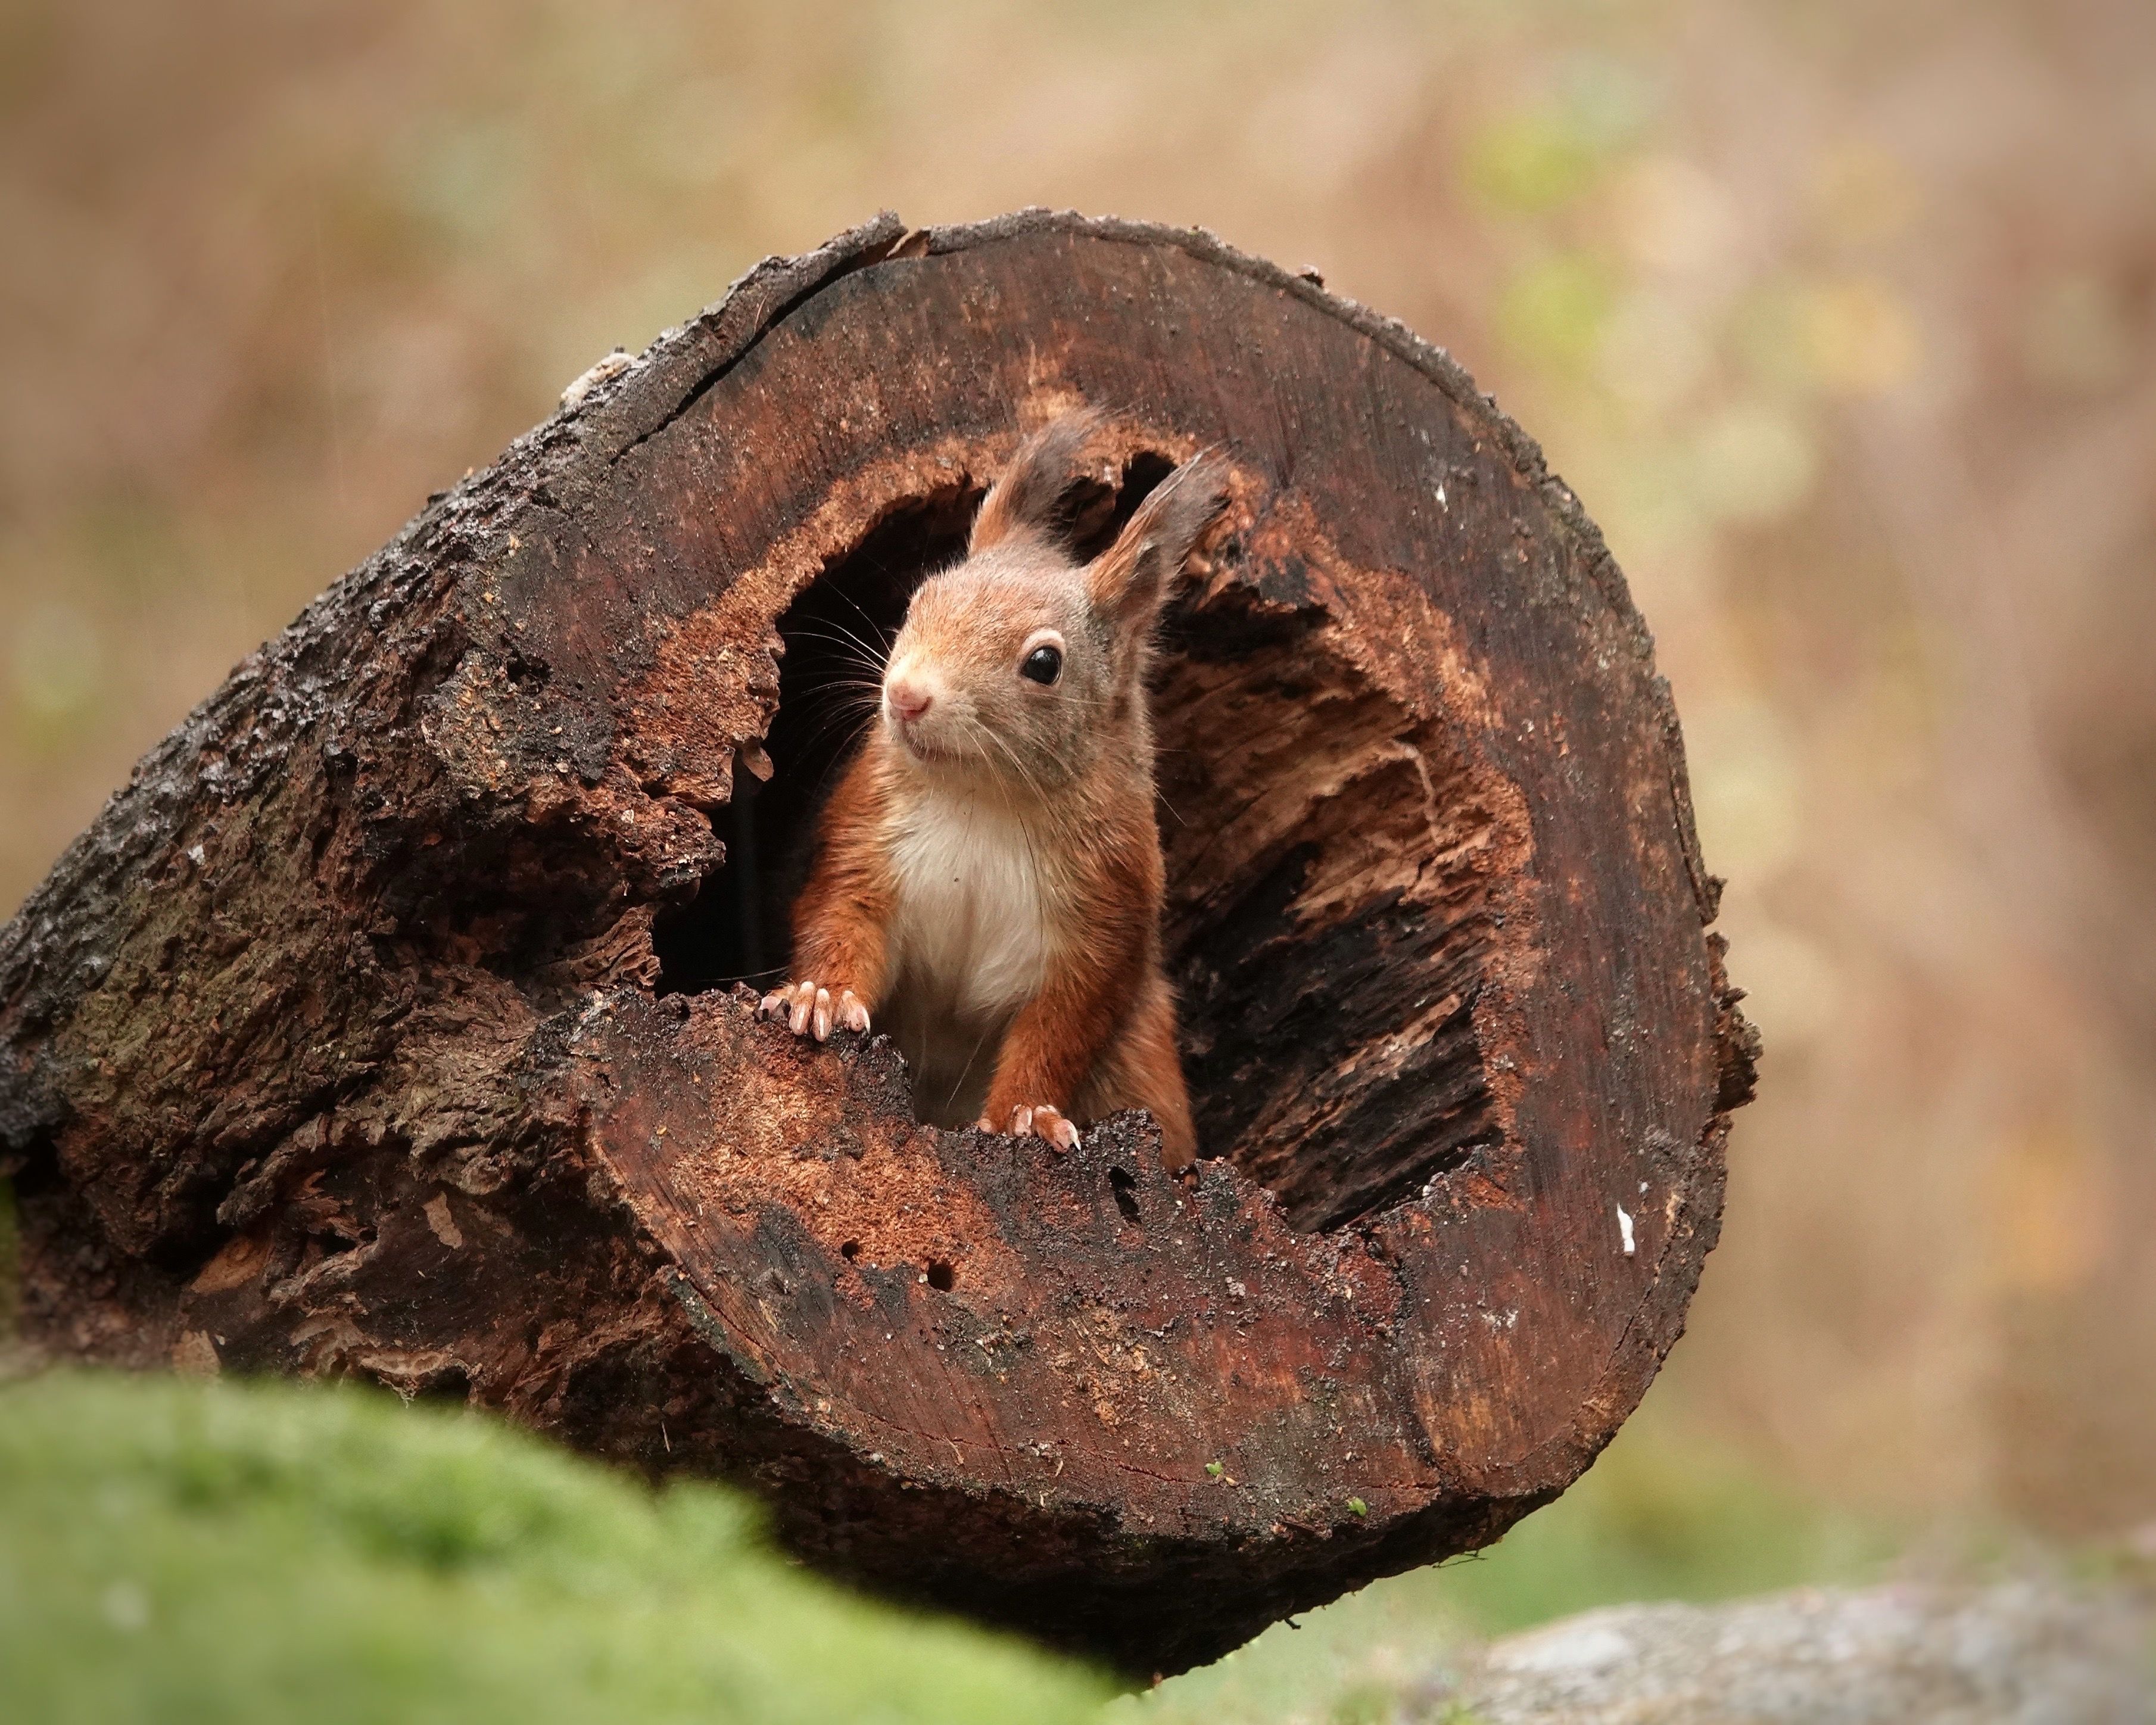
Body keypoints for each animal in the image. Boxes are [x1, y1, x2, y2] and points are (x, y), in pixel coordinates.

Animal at [767, 414, 1225, 1173]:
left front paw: (1026, 1116)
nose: (907, 697)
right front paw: (821, 998)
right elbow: (839, 917)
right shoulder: (863, 833)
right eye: (918, 599)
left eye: (1043, 663)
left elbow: (1060, 1030)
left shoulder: (1106, 912)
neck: (983, 799)